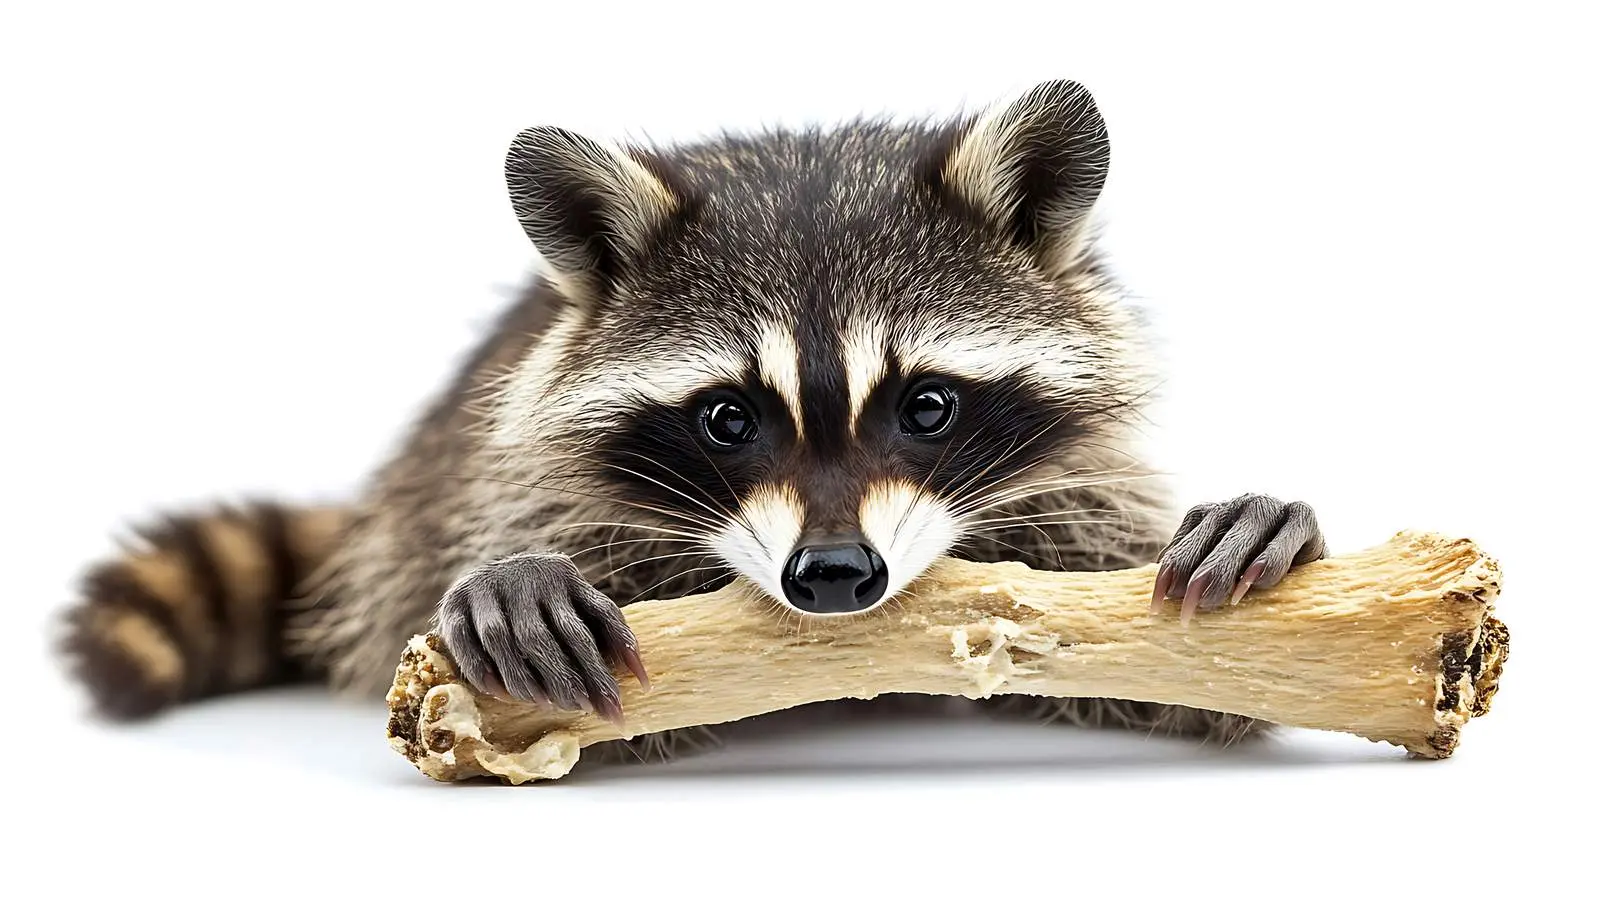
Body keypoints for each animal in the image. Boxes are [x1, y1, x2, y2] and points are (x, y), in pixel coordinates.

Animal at [59, 80, 1326, 756]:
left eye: (926, 406)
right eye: (727, 419)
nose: (833, 574)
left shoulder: (1076, 496)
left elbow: (1165, 676)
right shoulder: (523, 474)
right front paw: (515, 577)